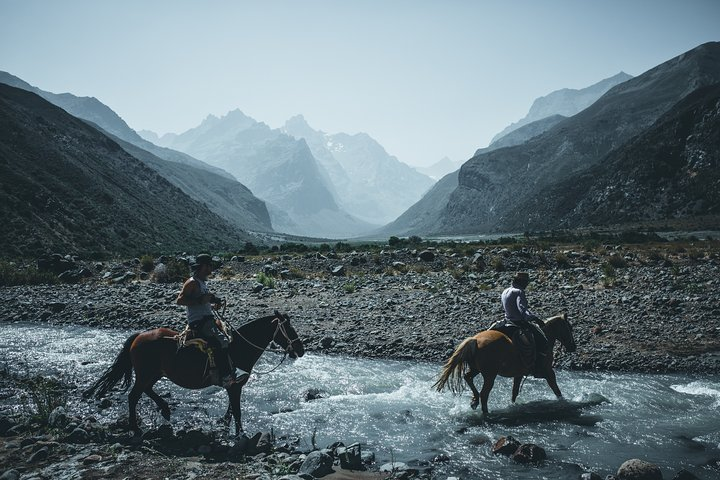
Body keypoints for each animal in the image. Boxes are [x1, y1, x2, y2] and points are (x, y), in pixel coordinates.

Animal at [84, 312, 304, 436]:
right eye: (288, 328)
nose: (301, 350)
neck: (239, 348)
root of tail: (139, 336)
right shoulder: (234, 385)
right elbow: (237, 410)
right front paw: (241, 434)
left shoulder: (233, 386)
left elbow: (231, 409)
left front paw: (225, 425)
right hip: (146, 373)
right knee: (133, 396)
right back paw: (136, 427)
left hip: (155, 373)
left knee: (146, 390)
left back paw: (165, 410)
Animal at [430, 314, 576, 414]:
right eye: (569, 327)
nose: (573, 347)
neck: (545, 336)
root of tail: (474, 340)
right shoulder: (548, 372)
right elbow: (556, 390)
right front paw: (564, 403)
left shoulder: (519, 374)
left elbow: (514, 393)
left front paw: (513, 406)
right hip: (490, 375)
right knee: (484, 394)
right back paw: (486, 412)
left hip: (477, 369)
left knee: (468, 377)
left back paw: (474, 401)